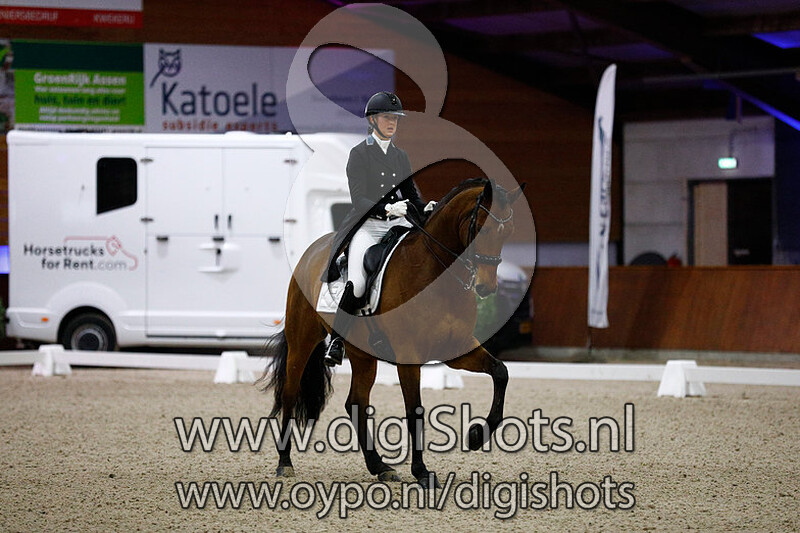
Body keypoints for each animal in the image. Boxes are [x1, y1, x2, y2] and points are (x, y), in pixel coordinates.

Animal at [259, 177, 526, 487]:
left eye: (509, 232)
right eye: (482, 226)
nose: (486, 287)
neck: (436, 275)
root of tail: (313, 250)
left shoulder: (457, 349)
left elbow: (500, 372)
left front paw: (476, 436)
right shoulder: (409, 356)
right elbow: (415, 411)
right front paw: (422, 472)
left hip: (362, 354)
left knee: (356, 402)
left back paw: (380, 466)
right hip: (302, 340)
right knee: (290, 393)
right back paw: (284, 462)